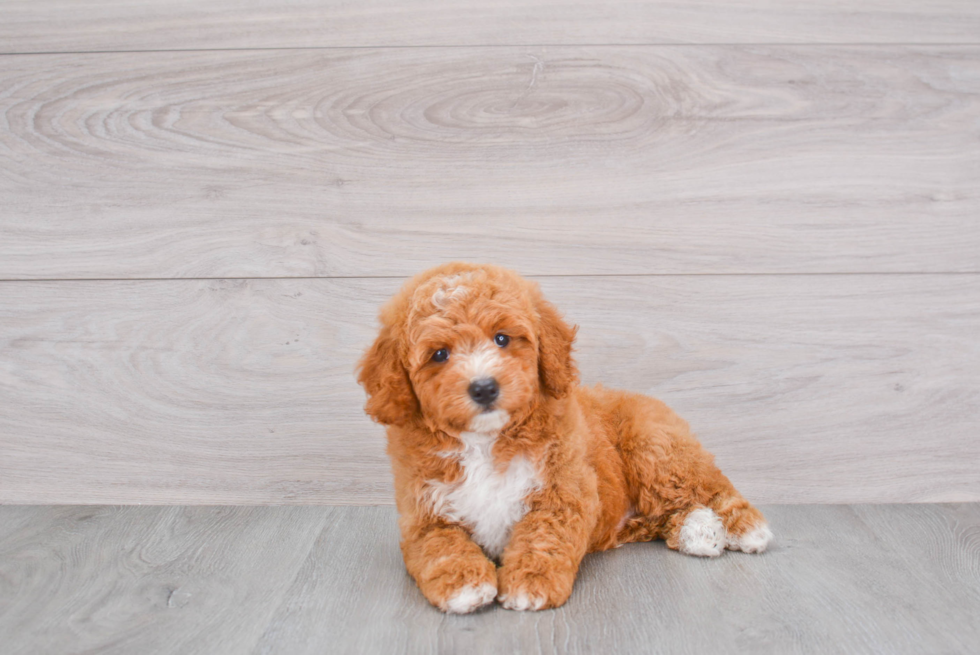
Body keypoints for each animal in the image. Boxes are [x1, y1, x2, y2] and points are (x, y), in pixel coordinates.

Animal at [356, 262, 768, 616]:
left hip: (657, 449)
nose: (484, 387)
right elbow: (440, 546)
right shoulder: (423, 515)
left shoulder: (562, 492)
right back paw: (698, 531)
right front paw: (464, 586)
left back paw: (744, 528)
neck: (485, 442)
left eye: (502, 338)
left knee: (709, 487)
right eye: (439, 354)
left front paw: (530, 584)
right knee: (663, 514)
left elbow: (544, 537)